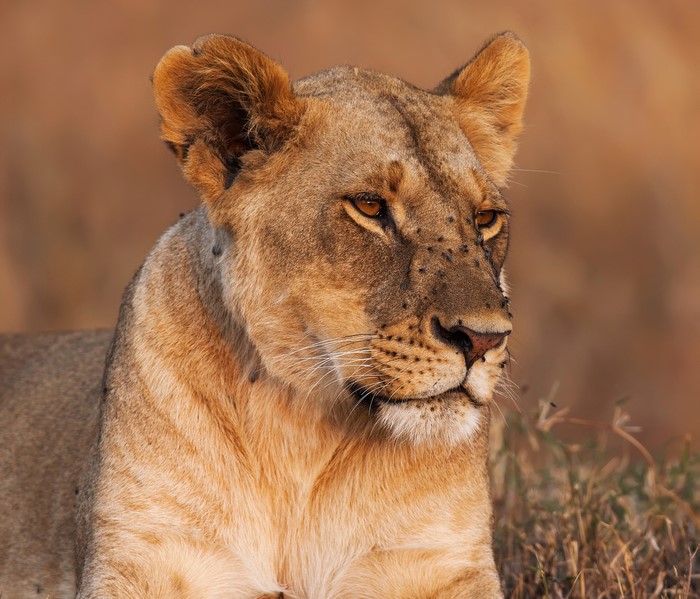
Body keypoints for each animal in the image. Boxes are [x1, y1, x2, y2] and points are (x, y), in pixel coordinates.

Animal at [0, 32, 529, 598]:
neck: (299, 433)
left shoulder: (442, 561)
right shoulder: (140, 555)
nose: (483, 339)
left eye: (486, 218)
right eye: (369, 206)